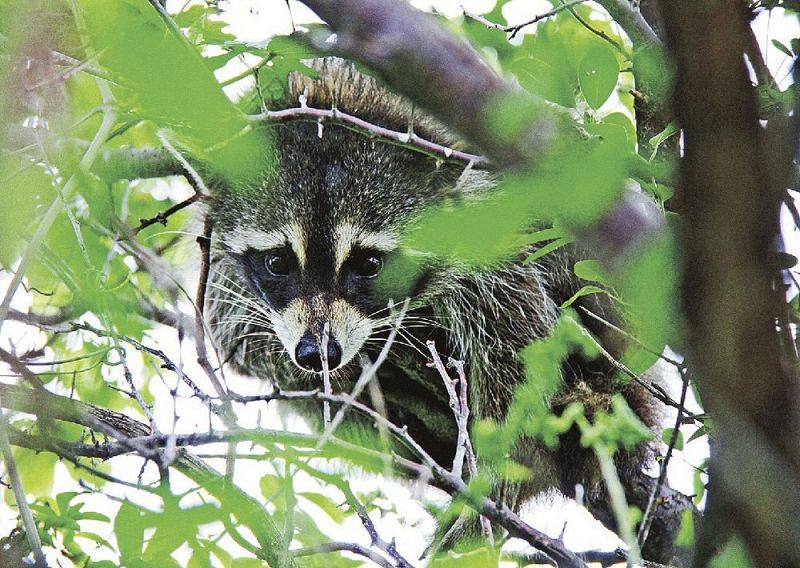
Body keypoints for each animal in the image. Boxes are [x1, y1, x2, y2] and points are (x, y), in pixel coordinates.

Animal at [208, 57, 692, 564]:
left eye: (369, 264)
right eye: (277, 262)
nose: (317, 352)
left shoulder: (482, 215)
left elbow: (518, 355)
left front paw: (503, 476)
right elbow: (232, 328)